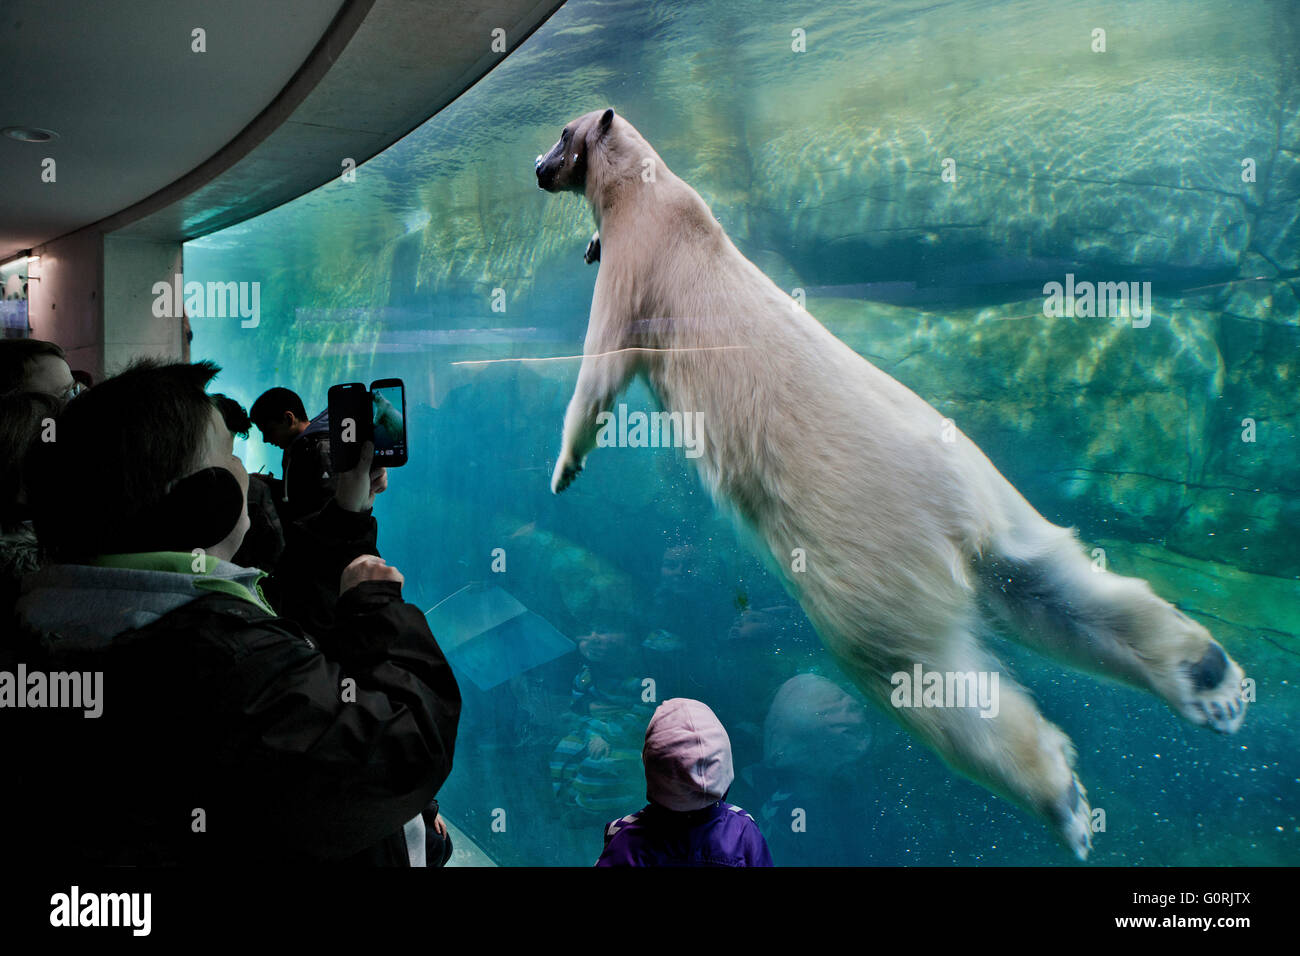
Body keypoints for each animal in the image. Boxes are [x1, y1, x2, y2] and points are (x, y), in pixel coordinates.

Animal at [535, 106, 1248, 858]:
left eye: (560, 136)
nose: (538, 169)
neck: (657, 192)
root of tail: (955, 520)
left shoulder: (642, 258)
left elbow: (602, 362)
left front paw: (564, 469)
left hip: (867, 556)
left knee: (913, 674)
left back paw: (1066, 801)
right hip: (997, 497)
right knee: (1057, 588)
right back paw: (1212, 681)